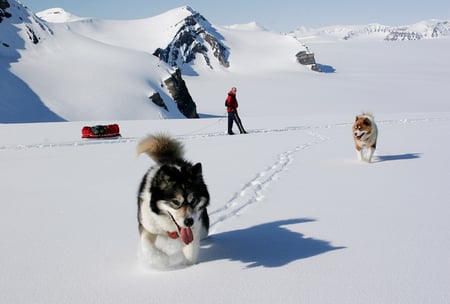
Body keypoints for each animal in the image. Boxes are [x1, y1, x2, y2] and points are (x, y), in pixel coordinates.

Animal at [136, 134, 210, 268]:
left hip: (203, 228)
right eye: (175, 202)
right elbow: (149, 249)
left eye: (193, 200)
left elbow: (190, 254)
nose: (189, 222)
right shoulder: (148, 227)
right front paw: (166, 260)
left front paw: (188, 264)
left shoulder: (193, 230)